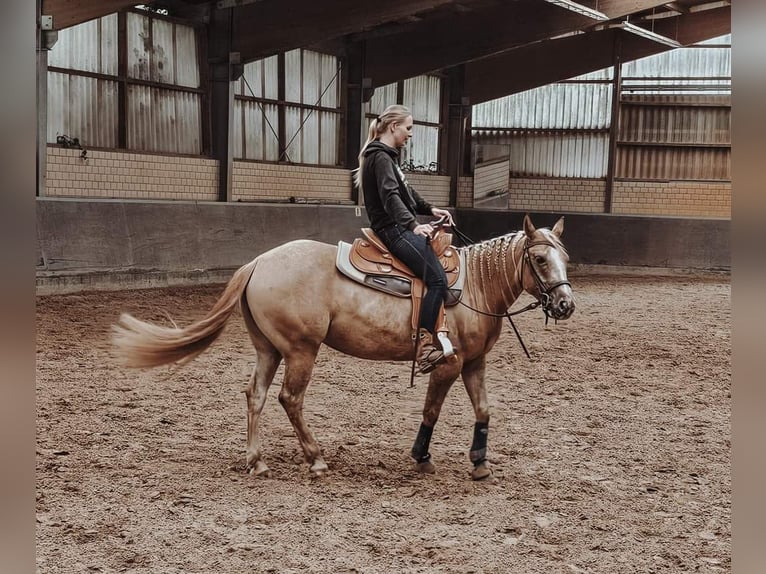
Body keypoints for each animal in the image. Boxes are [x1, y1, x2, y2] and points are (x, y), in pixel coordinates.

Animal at [111, 215, 572, 482]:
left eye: (564, 257)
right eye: (539, 259)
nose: (566, 304)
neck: (475, 284)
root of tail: (258, 263)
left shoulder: (475, 363)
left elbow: (484, 411)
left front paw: (479, 461)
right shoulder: (449, 363)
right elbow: (431, 410)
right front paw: (421, 456)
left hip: (269, 349)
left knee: (256, 395)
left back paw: (257, 461)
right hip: (301, 349)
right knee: (290, 398)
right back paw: (316, 459)